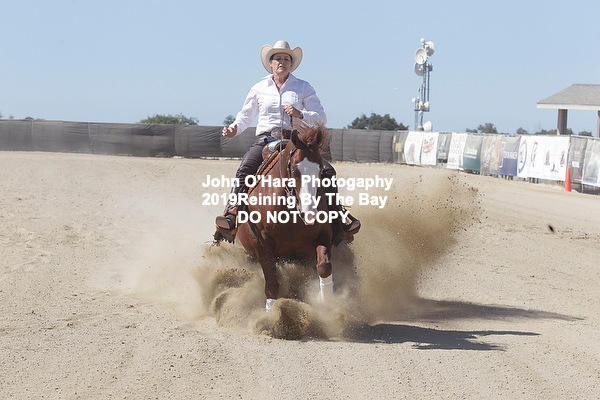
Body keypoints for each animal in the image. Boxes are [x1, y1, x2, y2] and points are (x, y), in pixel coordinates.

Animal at [235, 128, 334, 312]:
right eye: (294, 170)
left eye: (320, 170)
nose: (310, 213)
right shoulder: (262, 243)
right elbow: (272, 283)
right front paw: (272, 313)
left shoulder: (324, 234)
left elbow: (324, 266)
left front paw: (327, 302)